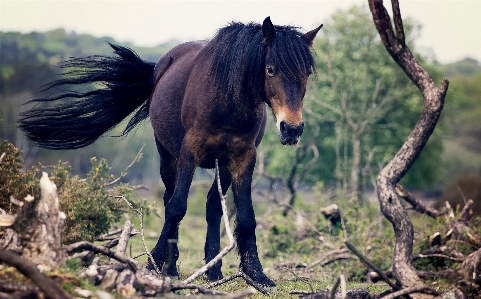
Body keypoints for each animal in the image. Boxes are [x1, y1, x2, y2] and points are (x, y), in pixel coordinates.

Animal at [17, 17, 322, 288]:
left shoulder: (243, 157)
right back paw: (171, 268)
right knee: (169, 199)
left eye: (306, 73)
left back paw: (213, 270)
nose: (292, 129)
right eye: (270, 69)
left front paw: (257, 274)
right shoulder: (190, 152)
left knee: (212, 206)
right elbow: (177, 207)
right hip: (168, 156)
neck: (227, 100)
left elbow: (246, 216)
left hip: (221, 165)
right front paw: (154, 263)